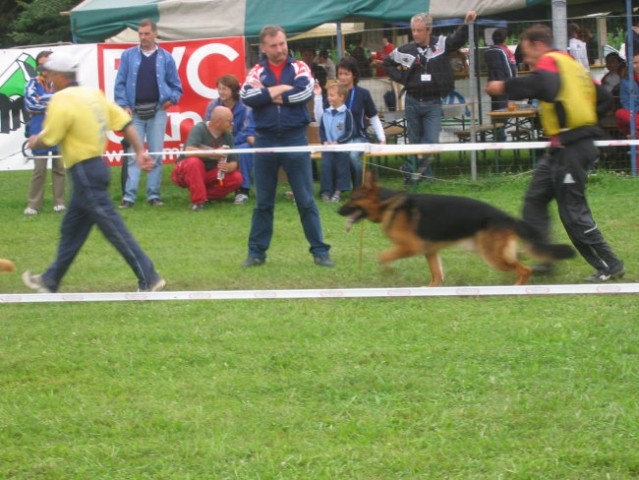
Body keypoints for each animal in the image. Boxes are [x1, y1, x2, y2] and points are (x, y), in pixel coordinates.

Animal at [338, 172, 576, 284]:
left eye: (352, 199)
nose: (338, 211)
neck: (387, 204)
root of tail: (506, 217)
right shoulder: (430, 251)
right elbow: (436, 276)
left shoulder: (411, 247)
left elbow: (382, 256)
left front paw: (388, 271)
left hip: (492, 256)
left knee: (524, 270)